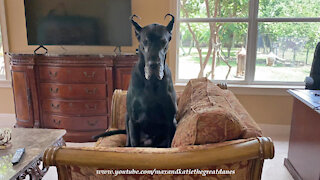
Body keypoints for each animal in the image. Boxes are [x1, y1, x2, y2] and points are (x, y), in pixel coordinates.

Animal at [92, 14, 178, 148]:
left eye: (164, 41)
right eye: (145, 41)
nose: (154, 65)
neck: (152, 82)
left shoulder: (170, 120)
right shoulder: (133, 120)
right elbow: (133, 144)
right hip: (127, 118)